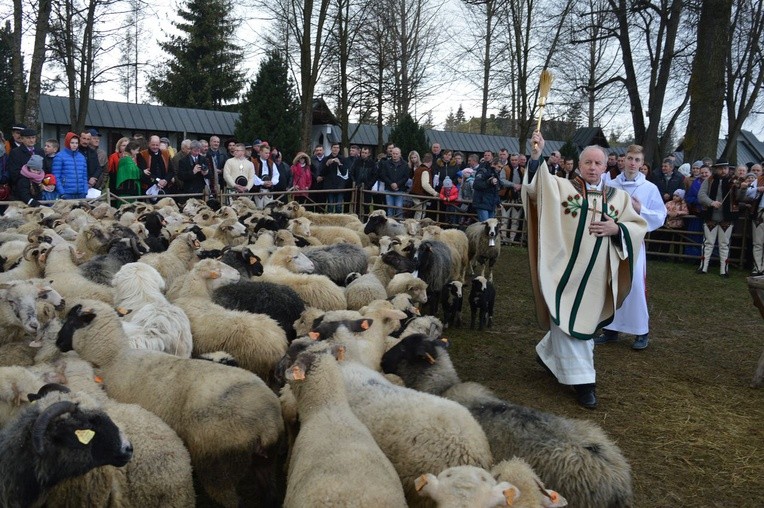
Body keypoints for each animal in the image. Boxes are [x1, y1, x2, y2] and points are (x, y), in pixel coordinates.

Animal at [55, 302, 286, 508]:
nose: (57, 342)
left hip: (219, 464)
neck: (113, 357)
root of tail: (268, 423)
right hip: (266, 461)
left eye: (72, 320)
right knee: (270, 494)